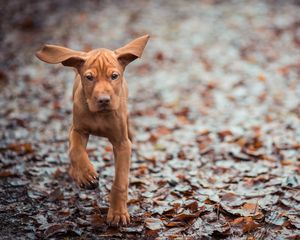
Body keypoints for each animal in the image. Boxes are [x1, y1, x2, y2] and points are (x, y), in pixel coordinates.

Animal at [36, 34, 150, 225]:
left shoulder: (122, 144)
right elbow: (75, 151)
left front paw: (118, 213)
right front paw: (86, 174)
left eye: (114, 76)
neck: (100, 115)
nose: (103, 100)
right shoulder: (78, 130)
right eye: (89, 77)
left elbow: (120, 180)